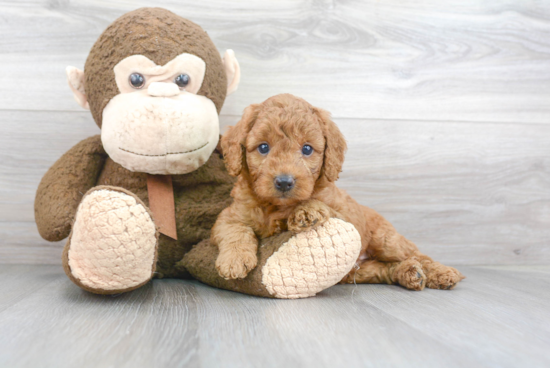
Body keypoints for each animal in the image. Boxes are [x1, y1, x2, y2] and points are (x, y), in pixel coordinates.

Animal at [211, 94, 466, 290]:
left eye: (307, 149)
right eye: (263, 147)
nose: (284, 182)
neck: (276, 206)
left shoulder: (346, 217)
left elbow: (322, 205)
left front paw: (306, 211)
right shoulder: (230, 215)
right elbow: (235, 231)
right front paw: (234, 260)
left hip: (385, 241)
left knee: (418, 255)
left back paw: (441, 273)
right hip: (357, 271)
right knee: (384, 269)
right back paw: (409, 273)